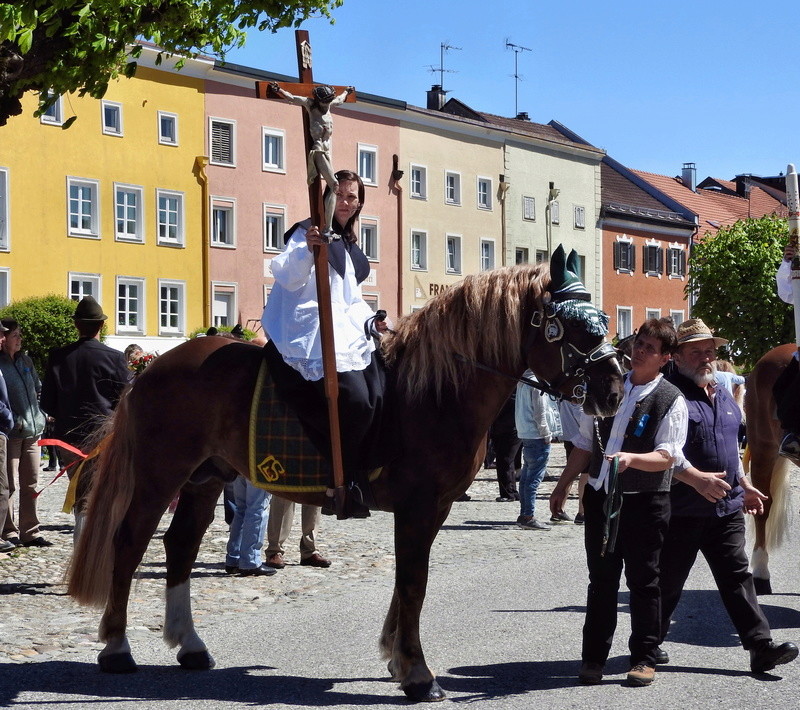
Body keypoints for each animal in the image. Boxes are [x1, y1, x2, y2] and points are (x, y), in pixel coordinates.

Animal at [65, 258, 624, 704]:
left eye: (600, 320)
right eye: (569, 327)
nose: (615, 389)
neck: (434, 391)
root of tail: (151, 368)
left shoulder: (435, 507)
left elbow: (407, 581)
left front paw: (397, 658)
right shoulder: (420, 506)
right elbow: (414, 582)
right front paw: (417, 673)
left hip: (205, 479)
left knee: (179, 545)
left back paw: (189, 644)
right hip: (160, 474)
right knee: (129, 543)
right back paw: (116, 646)